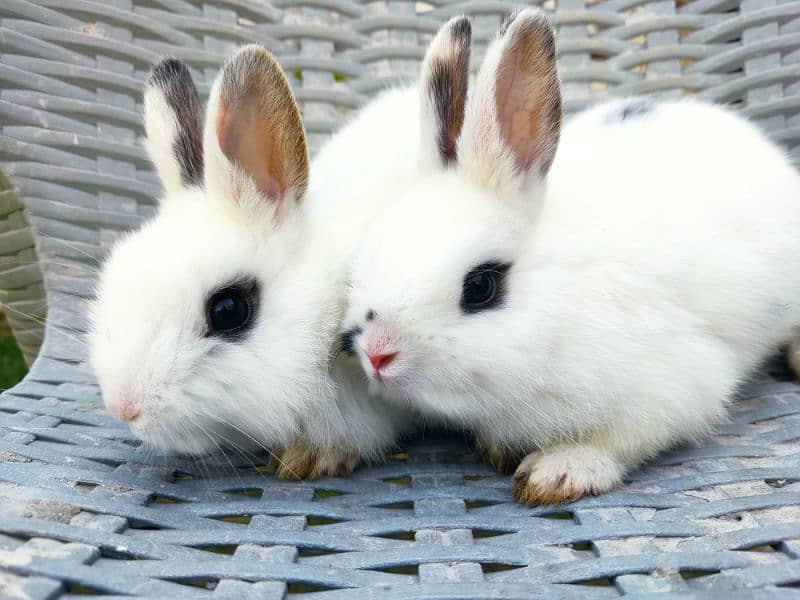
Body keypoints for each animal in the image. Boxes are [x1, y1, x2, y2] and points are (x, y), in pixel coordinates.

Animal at [342, 8, 800, 506]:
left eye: (481, 286)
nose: (377, 354)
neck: (561, 306)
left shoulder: (672, 384)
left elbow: (617, 438)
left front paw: (558, 473)